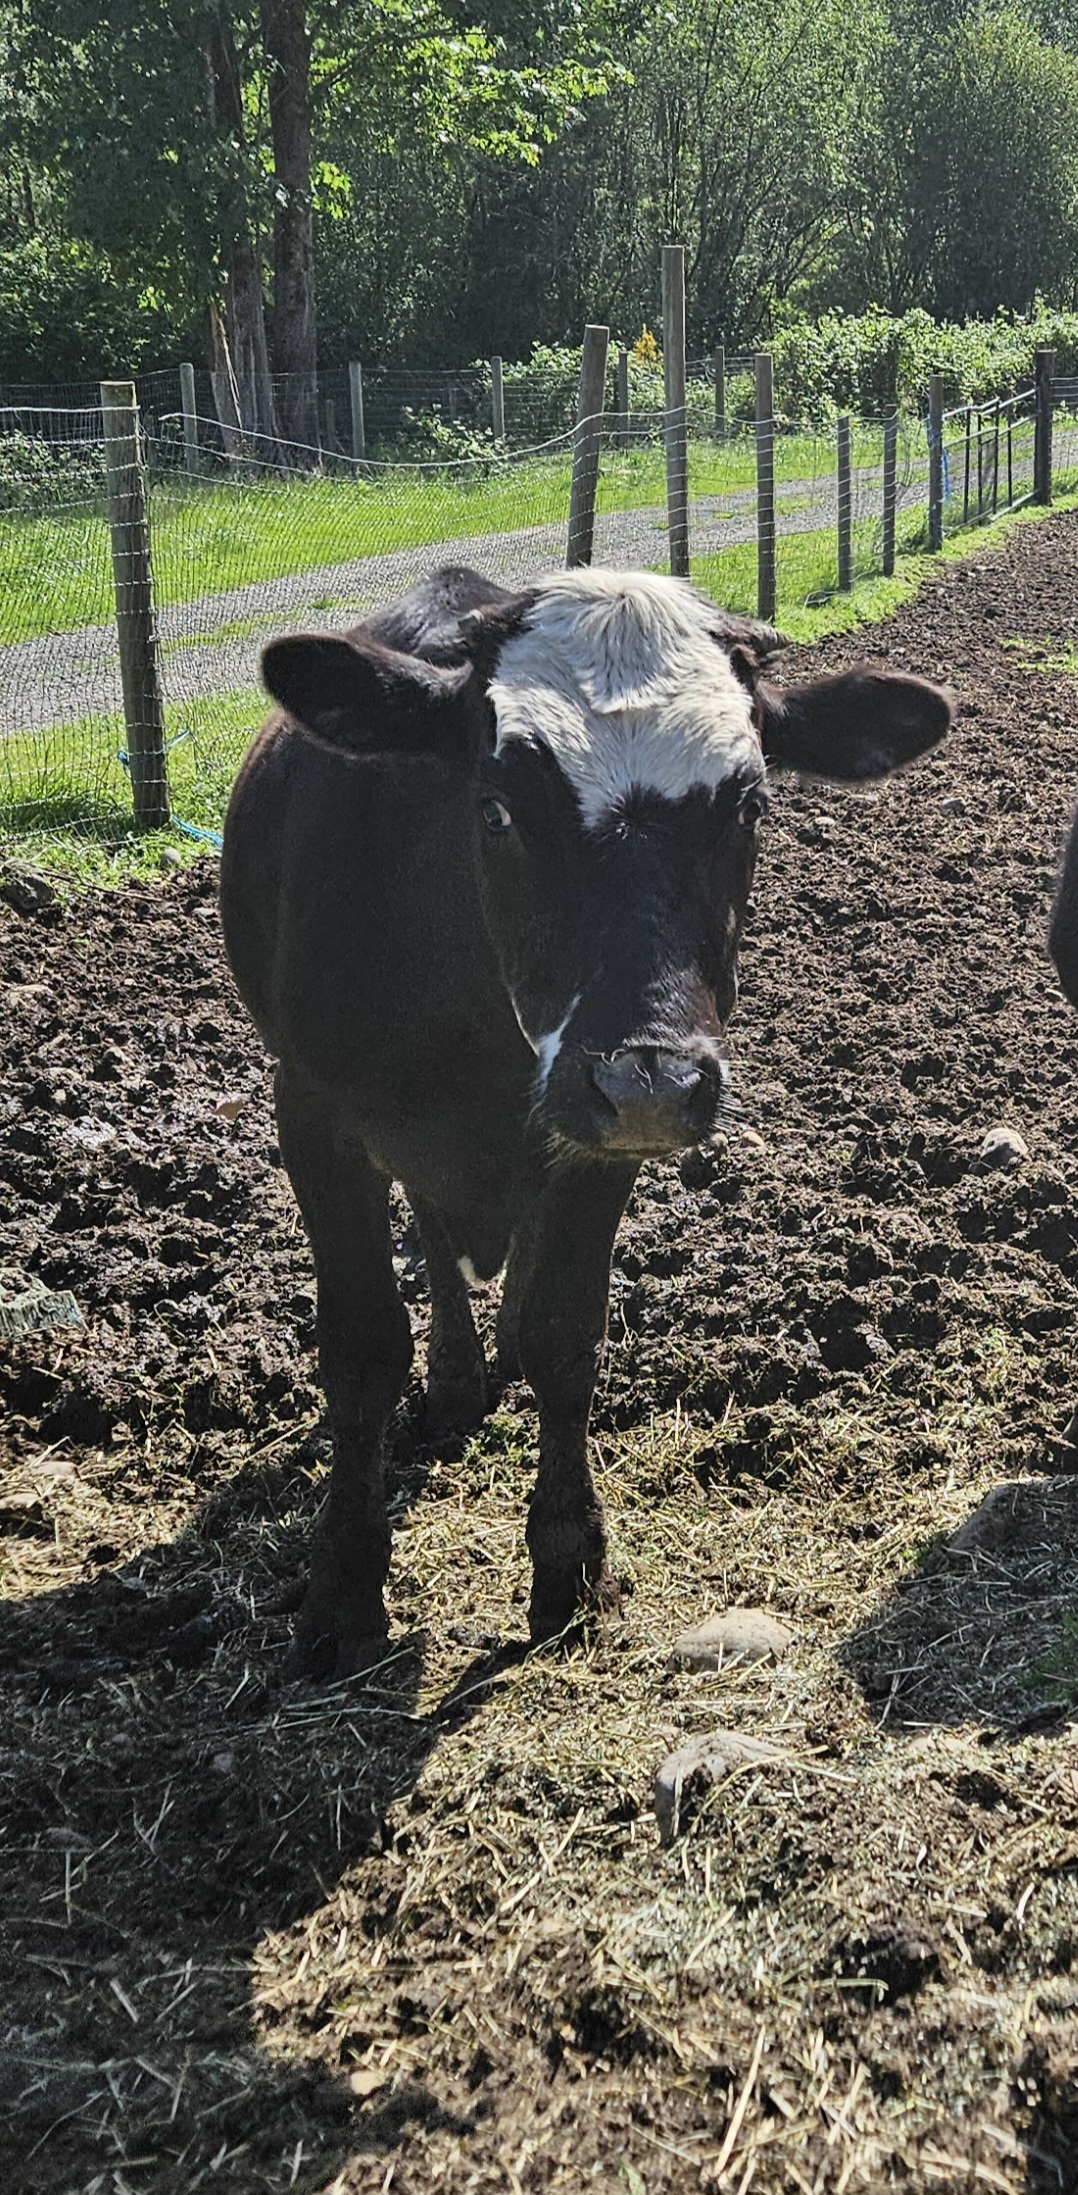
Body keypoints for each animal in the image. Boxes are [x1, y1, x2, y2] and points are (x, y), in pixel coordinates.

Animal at [220, 564, 952, 1675]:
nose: (649, 1077)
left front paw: (568, 1568)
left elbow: (562, 1337)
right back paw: (454, 1378)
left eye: (748, 807)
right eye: (495, 810)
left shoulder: (598, 1143)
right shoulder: (314, 1115)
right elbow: (360, 1347)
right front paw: (342, 1591)